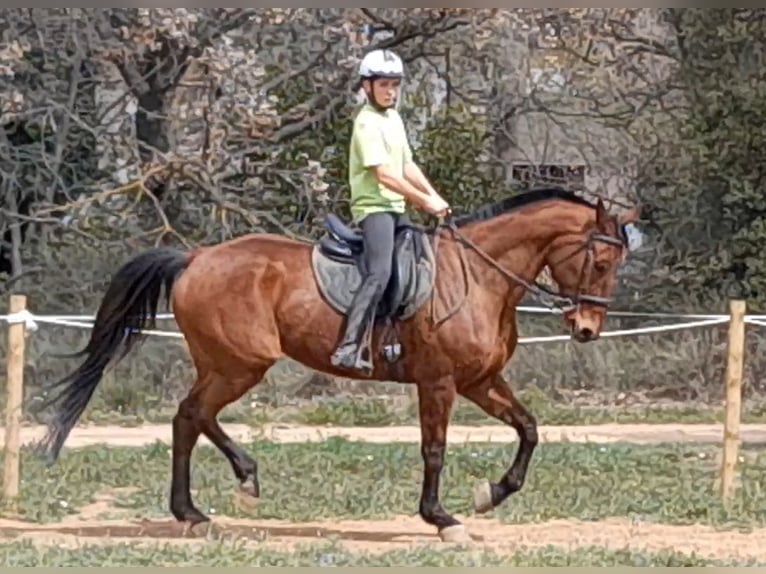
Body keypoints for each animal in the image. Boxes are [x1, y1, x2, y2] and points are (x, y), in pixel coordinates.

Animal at [39, 188, 644, 544]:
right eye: (601, 259)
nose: (587, 329)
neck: (479, 277)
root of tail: (195, 257)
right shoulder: (440, 382)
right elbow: (434, 449)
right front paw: (441, 518)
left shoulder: (480, 381)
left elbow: (529, 428)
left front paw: (491, 494)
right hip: (241, 363)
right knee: (193, 414)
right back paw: (235, 482)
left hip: (227, 364)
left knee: (188, 418)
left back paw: (197, 507)